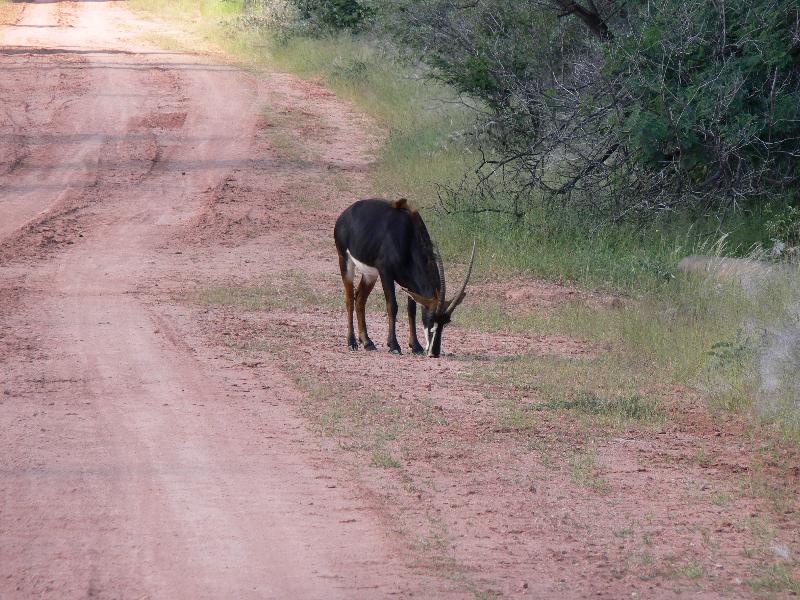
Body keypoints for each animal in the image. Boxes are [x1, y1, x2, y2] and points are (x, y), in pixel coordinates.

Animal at [332, 198, 476, 356]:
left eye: (446, 322)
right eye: (431, 318)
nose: (434, 352)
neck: (407, 236)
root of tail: (346, 214)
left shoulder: (410, 284)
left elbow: (411, 310)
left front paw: (416, 346)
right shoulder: (386, 272)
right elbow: (392, 306)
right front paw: (394, 345)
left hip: (370, 274)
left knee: (360, 299)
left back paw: (367, 342)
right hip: (345, 261)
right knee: (349, 299)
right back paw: (351, 343)